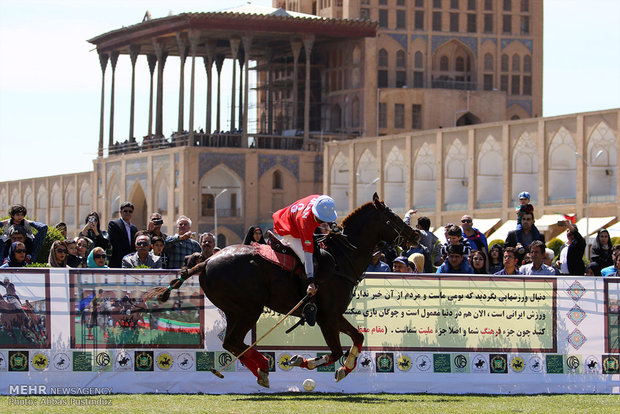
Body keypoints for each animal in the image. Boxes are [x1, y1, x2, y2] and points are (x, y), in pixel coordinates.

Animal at [145, 194, 416, 388]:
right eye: (392, 216)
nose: (415, 235)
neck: (342, 257)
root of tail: (207, 261)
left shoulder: (334, 315)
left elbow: (357, 337)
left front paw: (344, 368)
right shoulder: (327, 316)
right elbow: (336, 350)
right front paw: (304, 361)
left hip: (234, 310)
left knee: (232, 342)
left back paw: (261, 370)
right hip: (248, 308)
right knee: (233, 341)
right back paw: (264, 365)